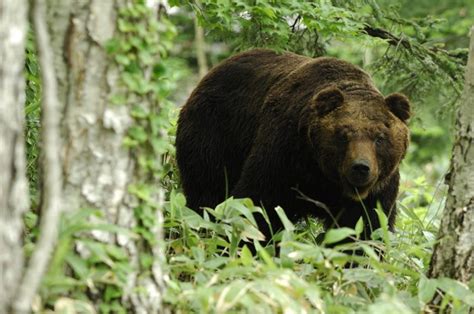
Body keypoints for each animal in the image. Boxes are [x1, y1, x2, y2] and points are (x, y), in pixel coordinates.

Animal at [176, 48, 410, 240]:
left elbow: (365, 228)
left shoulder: (378, 188)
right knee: (207, 191)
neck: (321, 174)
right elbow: (260, 205)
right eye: (343, 135)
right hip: (214, 134)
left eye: (379, 137)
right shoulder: (284, 153)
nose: (360, 167)